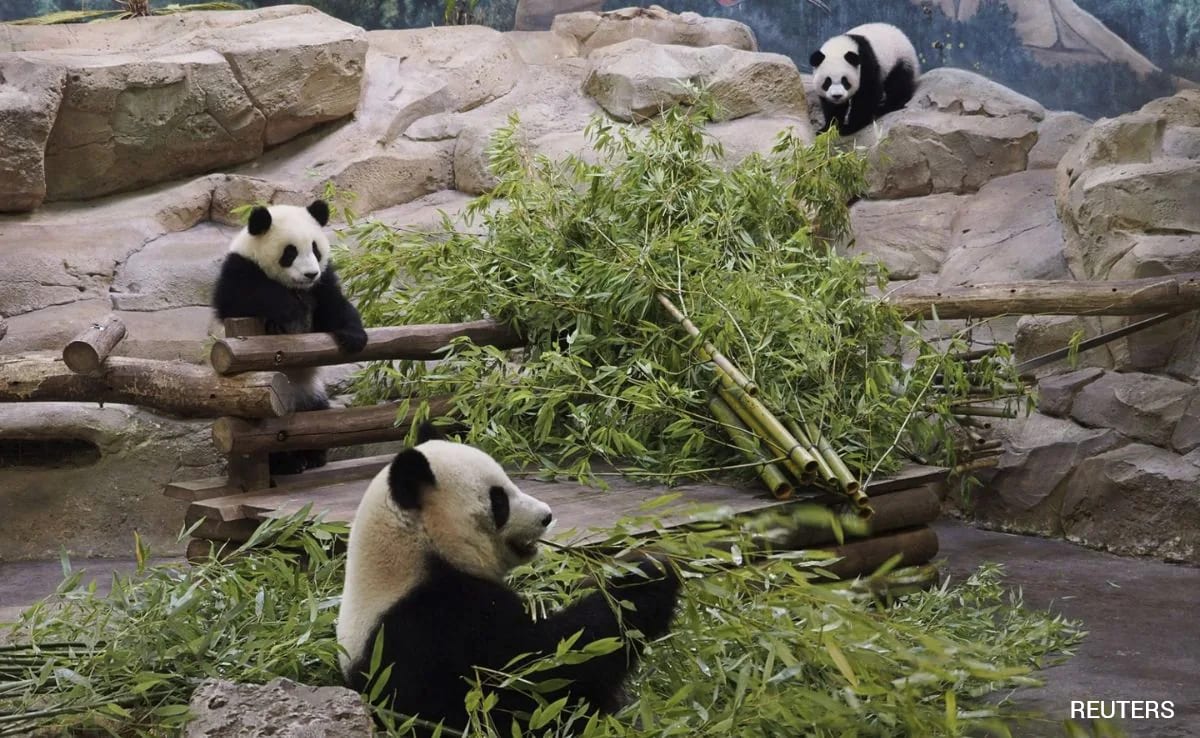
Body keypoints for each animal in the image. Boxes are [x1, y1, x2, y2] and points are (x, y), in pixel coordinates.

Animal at [212, 199, 368, 475]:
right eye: (290, 252)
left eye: (315, 249)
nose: (310, 274)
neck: (296, 288)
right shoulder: (239, 270)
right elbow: (243, 297)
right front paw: (288, 313)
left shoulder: (323, 281)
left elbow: (335, 305)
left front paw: (354, 337)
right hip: (264, 406)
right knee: (270, 436)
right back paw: (288, 464)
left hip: (312, 393)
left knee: (317, 419)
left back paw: (313, 457)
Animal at [336, 424, 681, 736]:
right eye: (499, 500)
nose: (546, 515)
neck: (415, 551)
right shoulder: (436, 623)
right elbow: (540, 665)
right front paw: (650, 575)